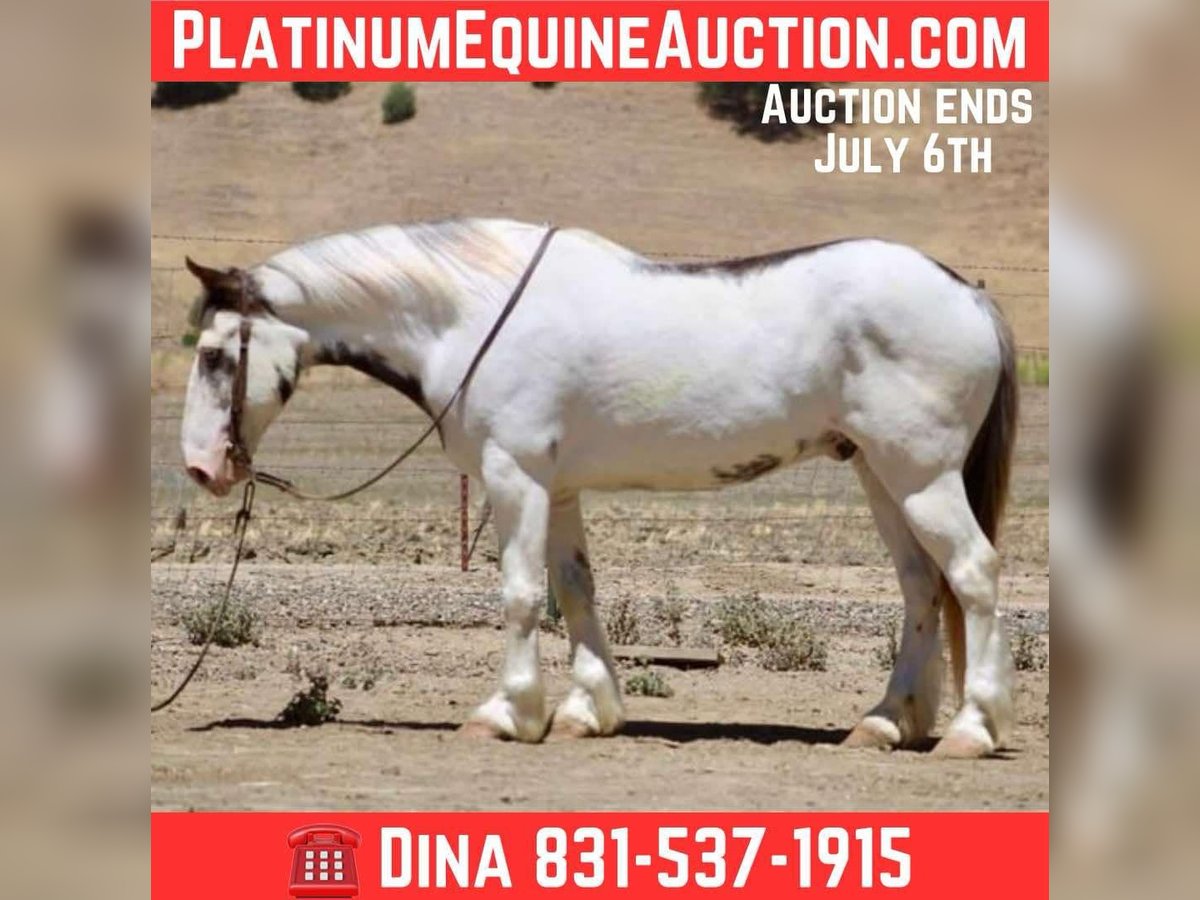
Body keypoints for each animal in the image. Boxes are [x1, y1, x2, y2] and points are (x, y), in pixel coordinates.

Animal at [179, 218, 1018, 758]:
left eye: (216, 354)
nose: (200, 467)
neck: (470, 314)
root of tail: (971, 296)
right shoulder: (557, 489)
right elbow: (574, 590)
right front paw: (587, 711)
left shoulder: (514, 476)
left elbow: (521, 595)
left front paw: (508, 713)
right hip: (881, 474)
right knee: (921, 586)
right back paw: (885, 723)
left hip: (920, 476)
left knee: (973, 575)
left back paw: (971, 731)